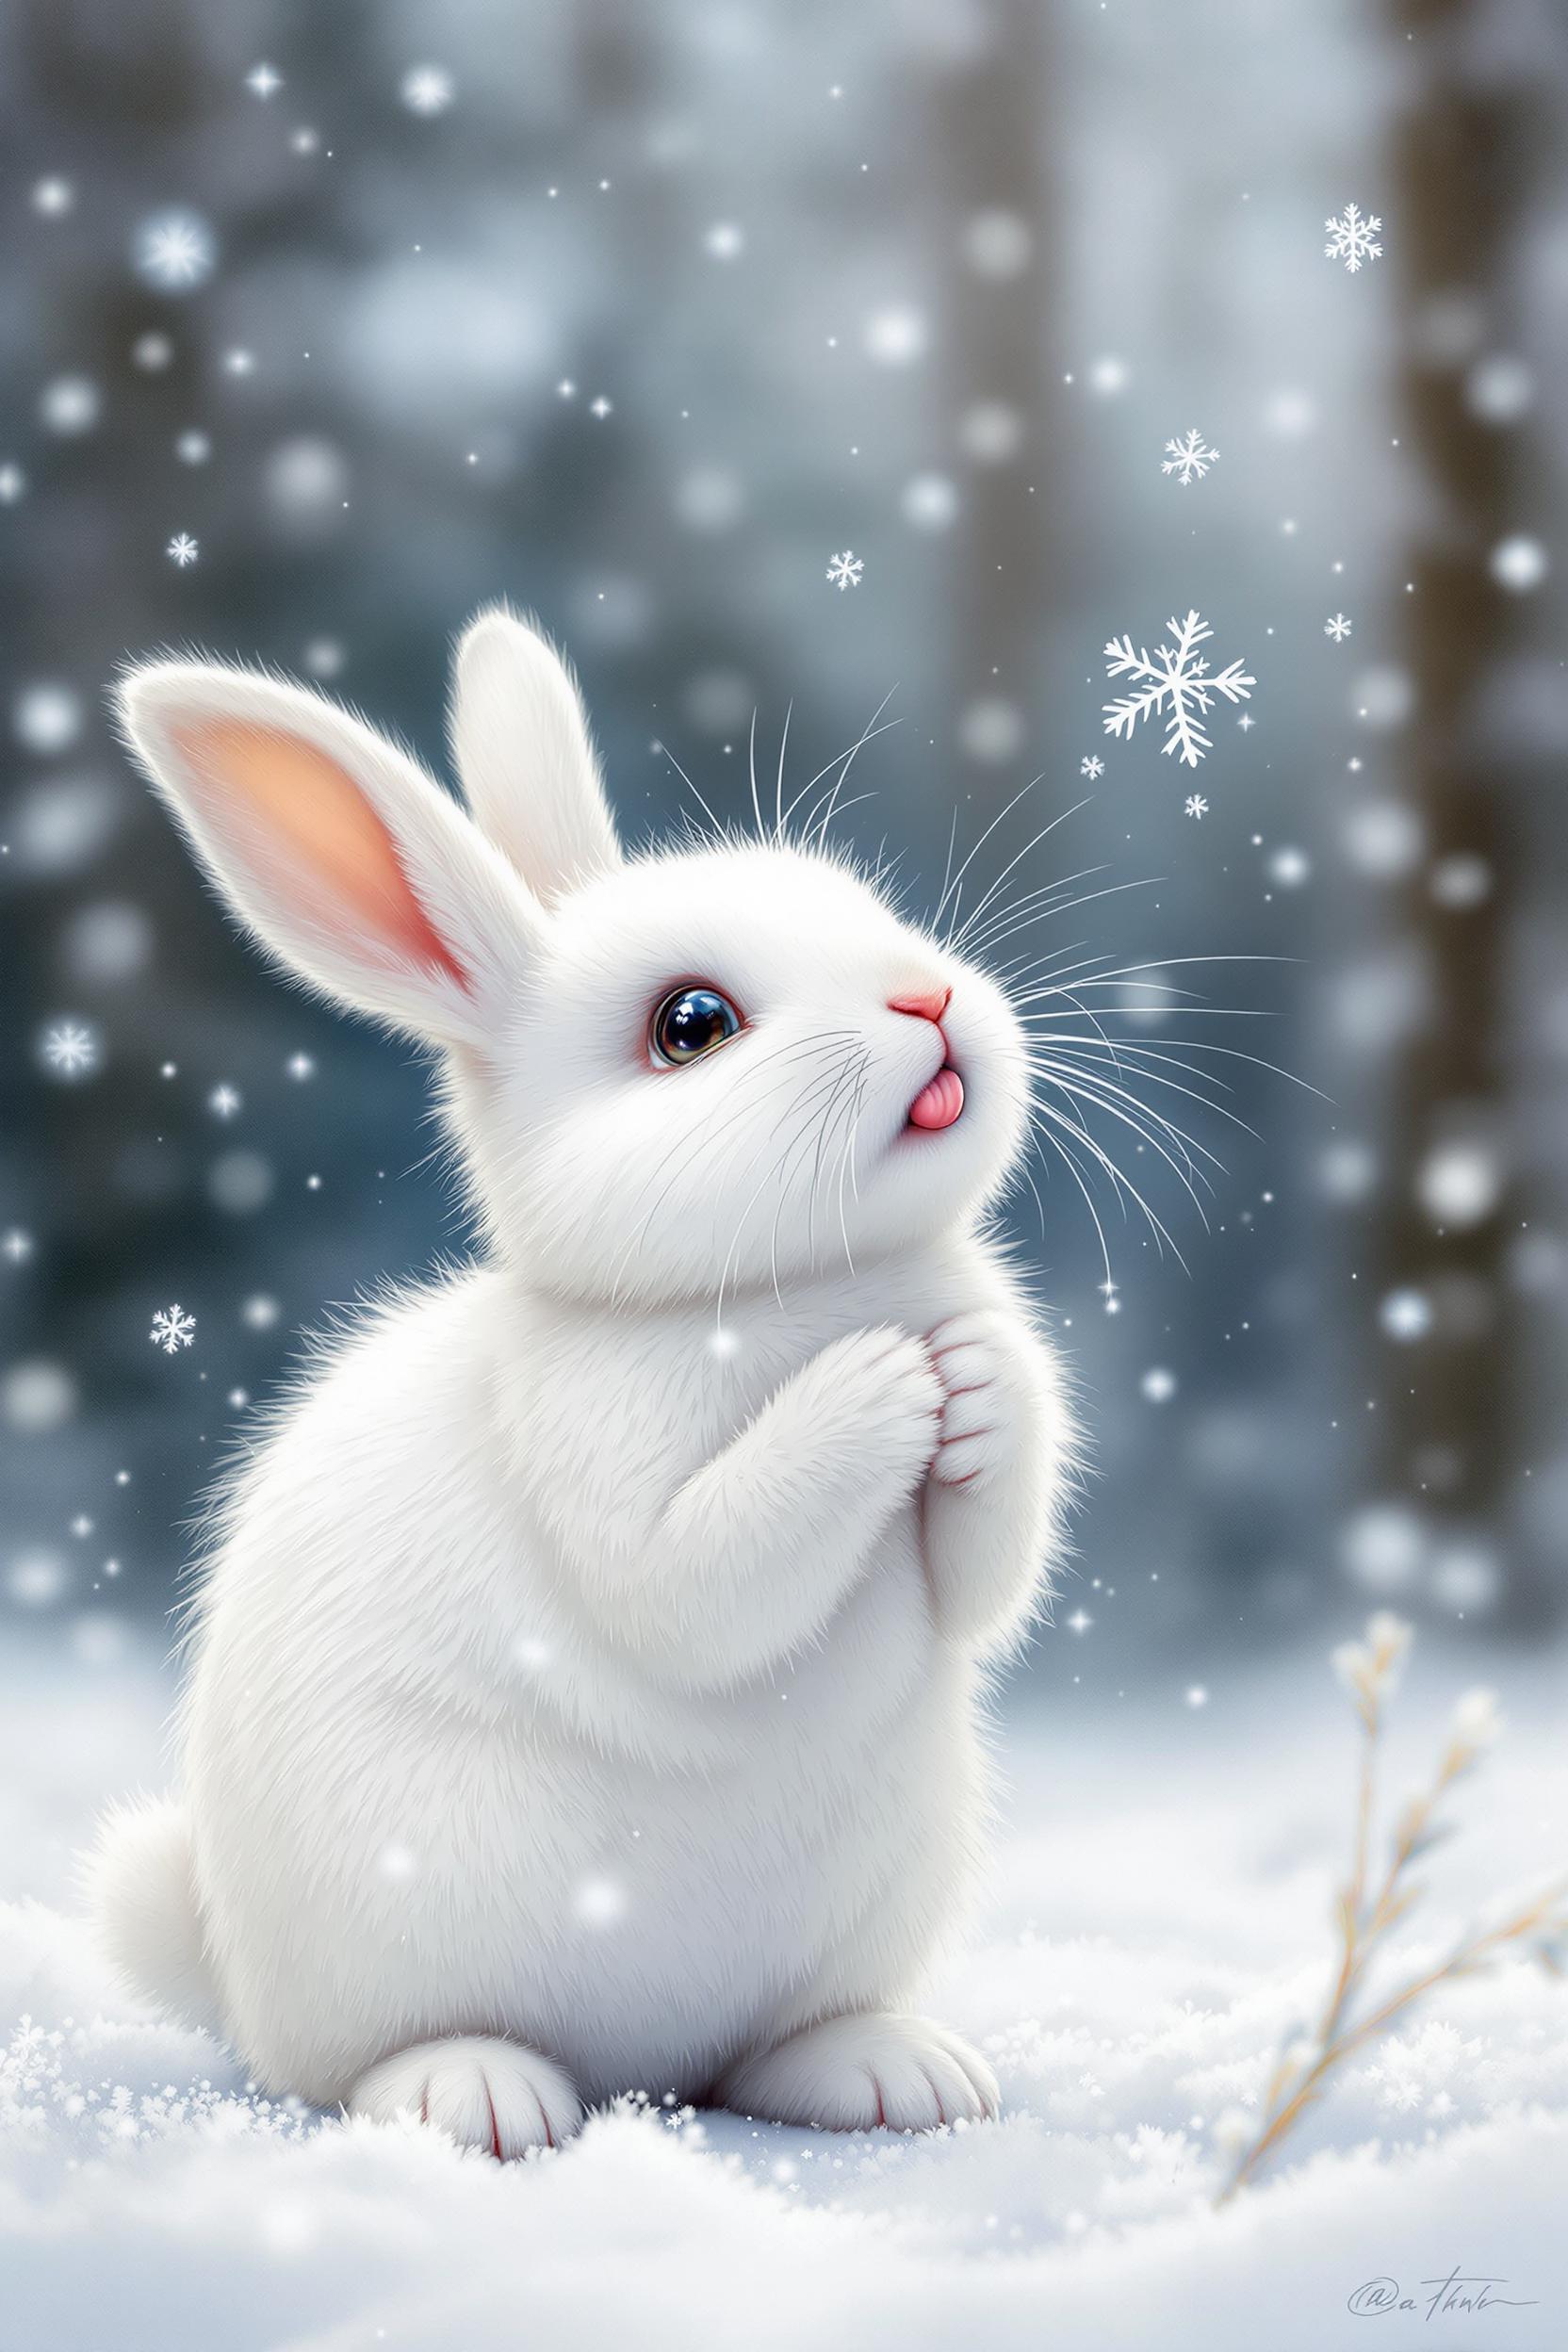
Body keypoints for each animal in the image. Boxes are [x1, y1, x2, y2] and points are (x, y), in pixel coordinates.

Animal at [85, 607, 1080, 2155]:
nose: (928, 994)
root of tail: (638, 2070)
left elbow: (989, 1571)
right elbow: (696, 1584)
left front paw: (978, 1376)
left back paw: (894, 2073)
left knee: (763, 2052)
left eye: (863, 906)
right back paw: (477, 2095)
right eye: (692, 1024)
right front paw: (878, 1385)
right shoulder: (602, 1465)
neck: (803, 1282)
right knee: (362, 2062)